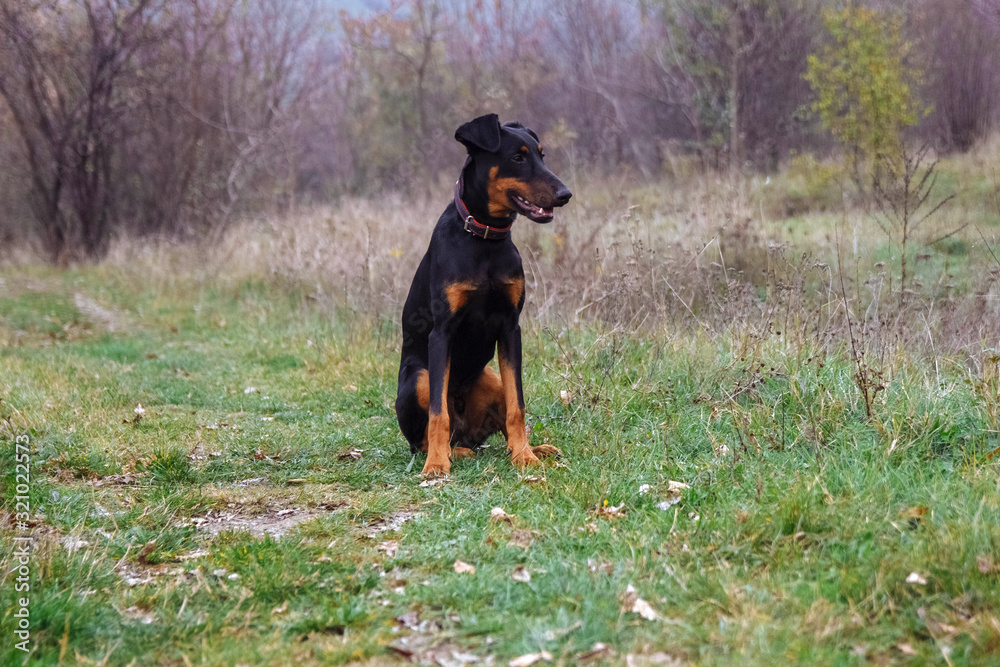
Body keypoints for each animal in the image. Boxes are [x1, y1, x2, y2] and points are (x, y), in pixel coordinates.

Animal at [396, 116, 576, 480]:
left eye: (542, 155)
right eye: (518, 158)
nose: (565, 194)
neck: (485, 238)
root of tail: (468, 433)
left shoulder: (510, 328)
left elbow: (518, 405)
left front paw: (524, 455)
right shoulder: (442, 332)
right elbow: (437, 412)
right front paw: (436, 464)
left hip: (490, 377)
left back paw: (532, 448)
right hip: (418, 376)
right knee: (425, 437)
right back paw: (449, 453)